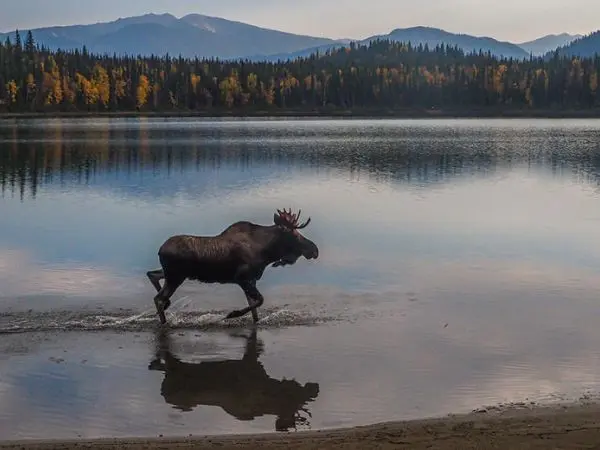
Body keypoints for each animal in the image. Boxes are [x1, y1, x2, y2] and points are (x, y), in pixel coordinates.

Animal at [146, 209, 318, 326]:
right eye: (295, 235)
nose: (314, 250)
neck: (266, 252)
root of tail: (160, 250)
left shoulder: (251, 280)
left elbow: (255, 310)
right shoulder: (242, 278)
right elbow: (260, 300)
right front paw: (233, 314)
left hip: (172, 274)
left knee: (152, 275)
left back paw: (167, 306)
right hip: (175, 276)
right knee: (158, 298)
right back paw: (164, 321)